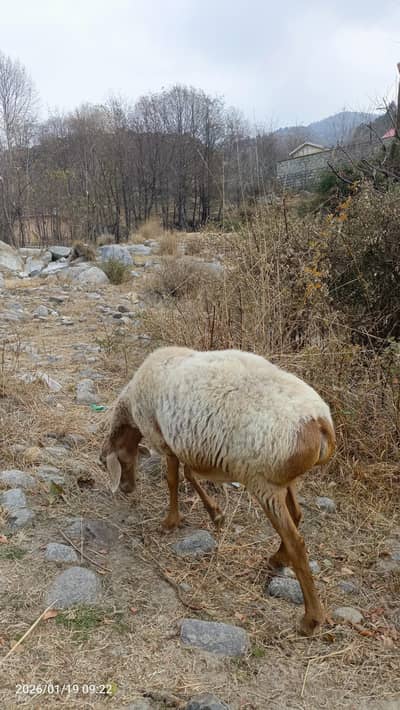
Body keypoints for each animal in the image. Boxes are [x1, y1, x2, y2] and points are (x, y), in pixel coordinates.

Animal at [100, 345, 336, 635]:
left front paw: (170, 522)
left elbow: (173, 479)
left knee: (297, 543)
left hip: (262, 481)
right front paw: (215, 513)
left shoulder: (166, 440)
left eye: (114, 462)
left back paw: (310, 619)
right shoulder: (188, 444)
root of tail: (320, 423)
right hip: (282, 479)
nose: (126, 488)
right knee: (297, 515)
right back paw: (276, 559)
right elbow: (190, 474)